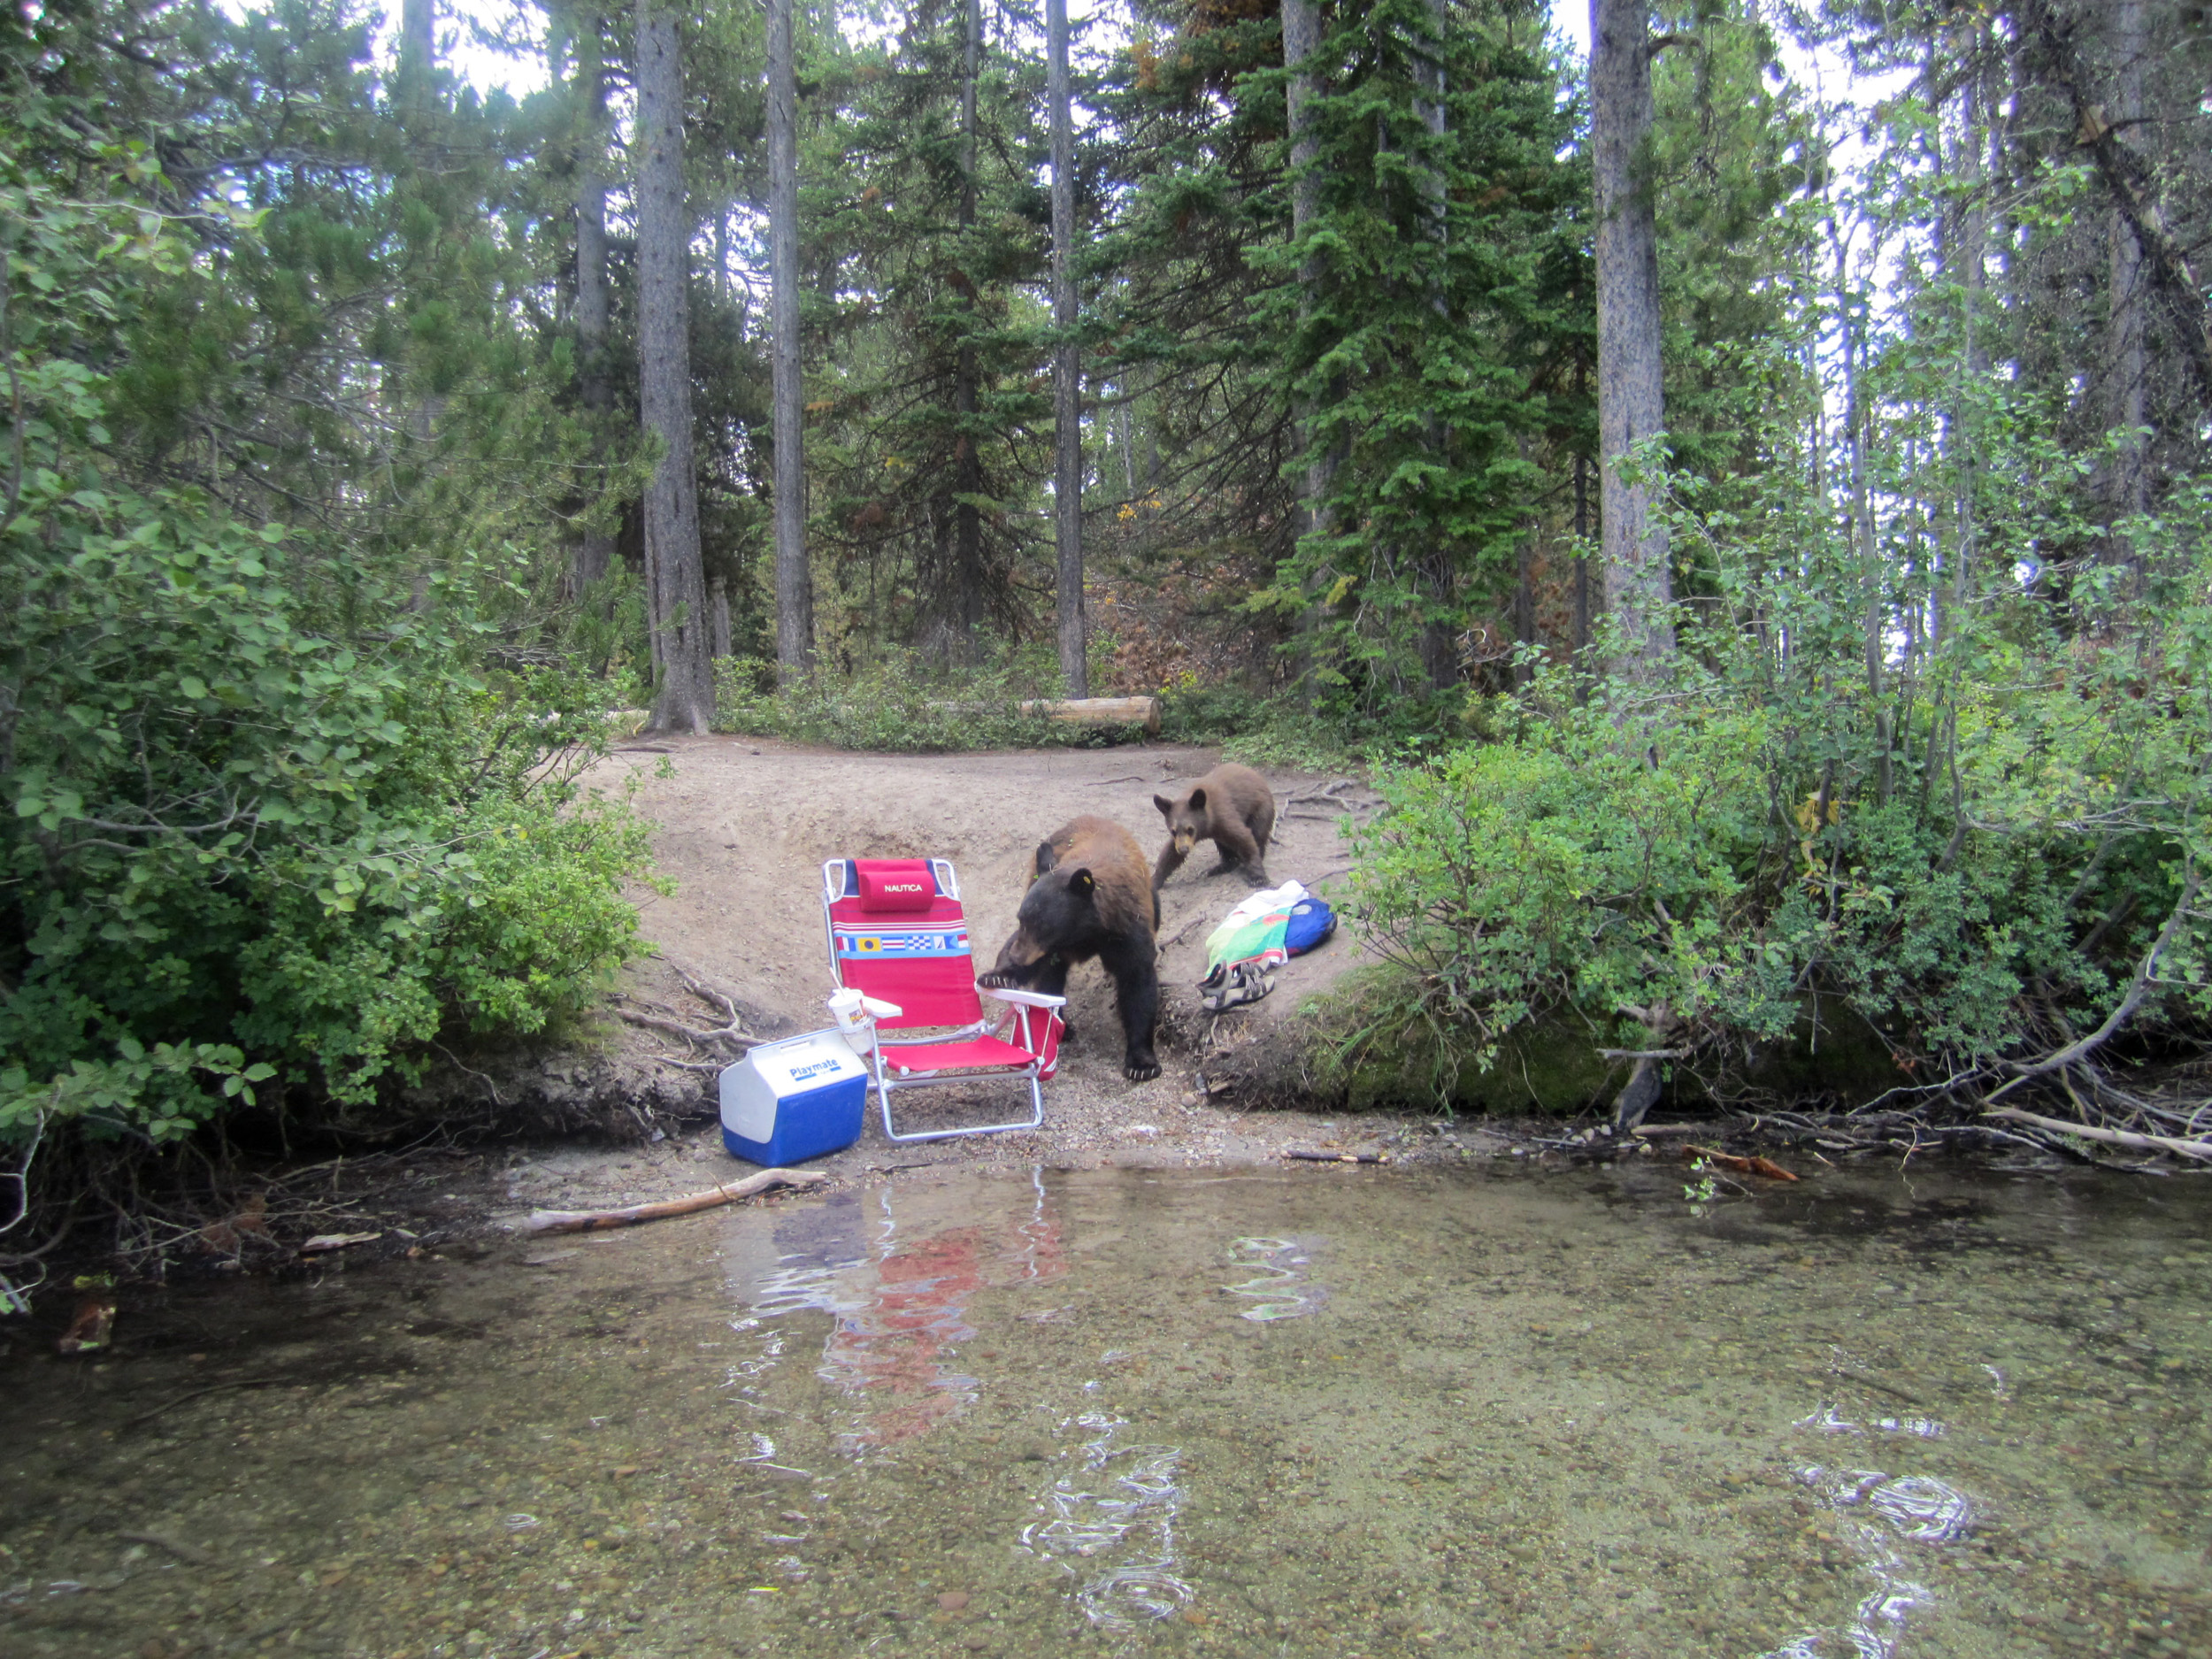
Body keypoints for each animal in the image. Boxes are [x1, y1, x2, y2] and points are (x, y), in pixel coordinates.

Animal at [982, 814, 1168, 1084]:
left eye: (1043, 924)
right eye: (1022, 919)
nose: (1018, 956)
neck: (1084, 932)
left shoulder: (1126, 930)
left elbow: (1138, 983)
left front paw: (1142, 1064)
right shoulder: (1046, 947)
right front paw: (996, 976)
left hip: (1154, 901)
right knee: (1051, 979)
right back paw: (1061, 1025)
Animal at [1150, 765, 1274, 898]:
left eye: (1190, 829)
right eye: (1173, 831)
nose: (1183, 849)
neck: (1208, 823)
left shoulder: (1223, 816)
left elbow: (1244, 837)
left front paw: (1258, 877)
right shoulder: (1179, 839)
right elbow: (1170, 854)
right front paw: (1155, 880)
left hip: (1261, 811)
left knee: (1258, 835)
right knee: (1224, 847)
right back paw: (1215, 869)